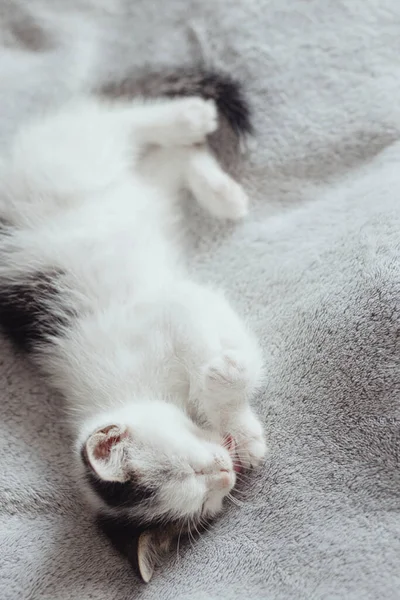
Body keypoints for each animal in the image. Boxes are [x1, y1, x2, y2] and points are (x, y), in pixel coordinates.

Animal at [0, 69, 266, 580]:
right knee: (166, 164)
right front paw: (245, 435)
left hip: (63, 160)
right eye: (206, 497)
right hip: (135, 192)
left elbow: (220, 352)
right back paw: (217, 188)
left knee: (117, 123)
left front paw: (233, 402)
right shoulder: (182, 303)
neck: (135, 392)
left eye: (192, 466)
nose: (225, 469)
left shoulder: (170, 306)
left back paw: (188, 120)